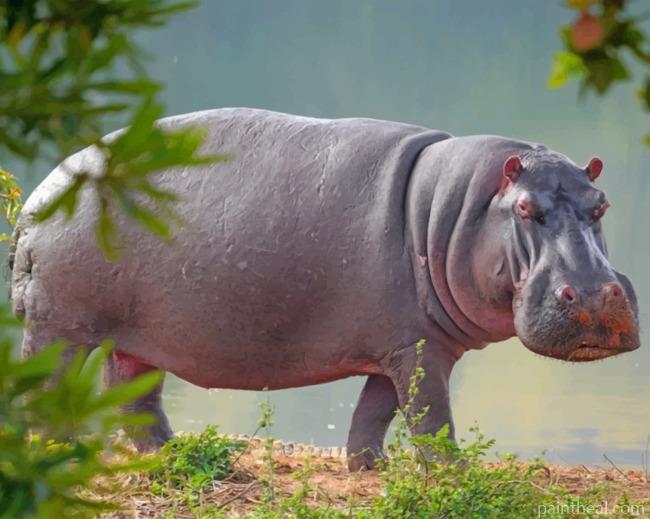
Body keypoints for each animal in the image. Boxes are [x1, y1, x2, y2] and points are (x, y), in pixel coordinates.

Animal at [10, 108, 640, 471]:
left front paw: (372, 469)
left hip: (137, 338)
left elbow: (375, 413)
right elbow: (432, 419)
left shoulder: (405, 343)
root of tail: (43, 191)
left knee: (135, 397)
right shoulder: (417, 350)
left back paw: (176, 455)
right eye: (527, 208)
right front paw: (453, 477)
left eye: (602, 204)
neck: (459, 209)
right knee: (46, 388)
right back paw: (55, 450)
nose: (593, 297)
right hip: (58, 326)